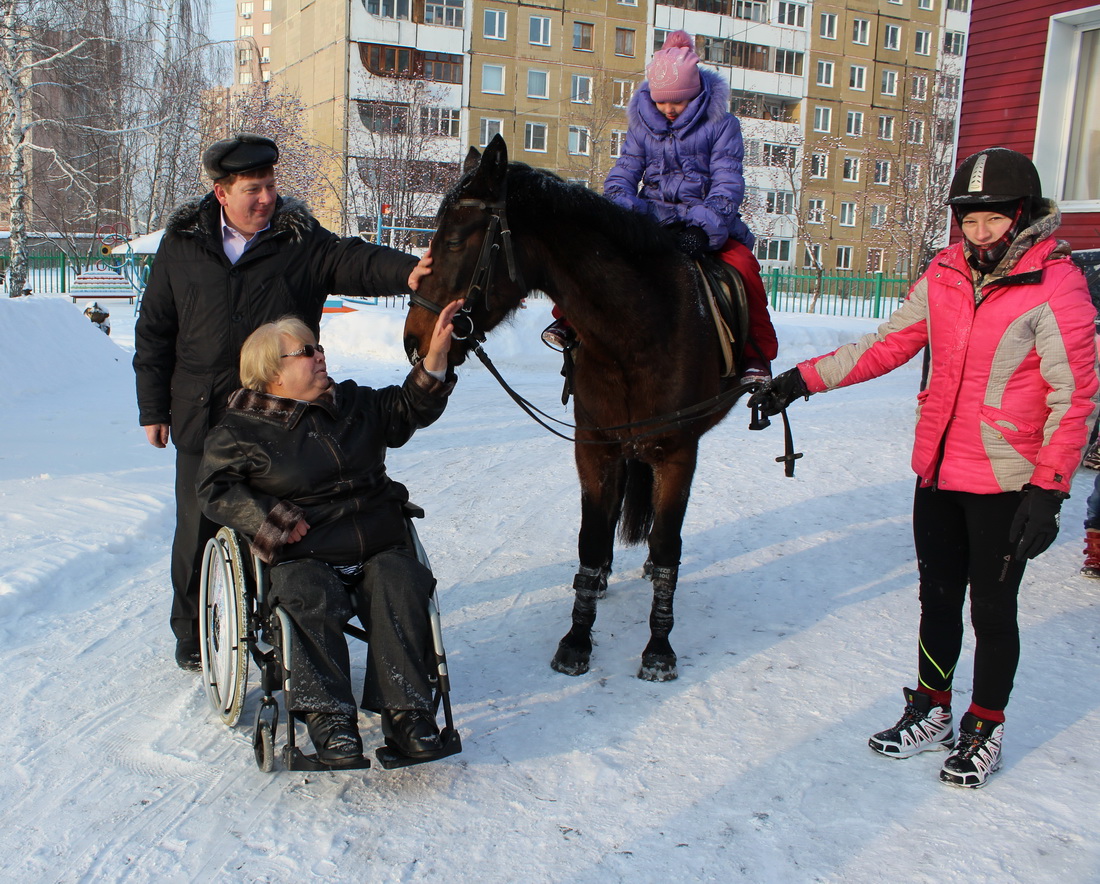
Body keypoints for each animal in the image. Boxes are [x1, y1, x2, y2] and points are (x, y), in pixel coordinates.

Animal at [404, 134, 756, 681]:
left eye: (457, 241)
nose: (414, 339)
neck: (637, 331)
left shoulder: (677, 452)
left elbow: (667, 544)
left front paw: (659, 646)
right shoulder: (594, 448)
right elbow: (591, 540)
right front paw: (577, 639)